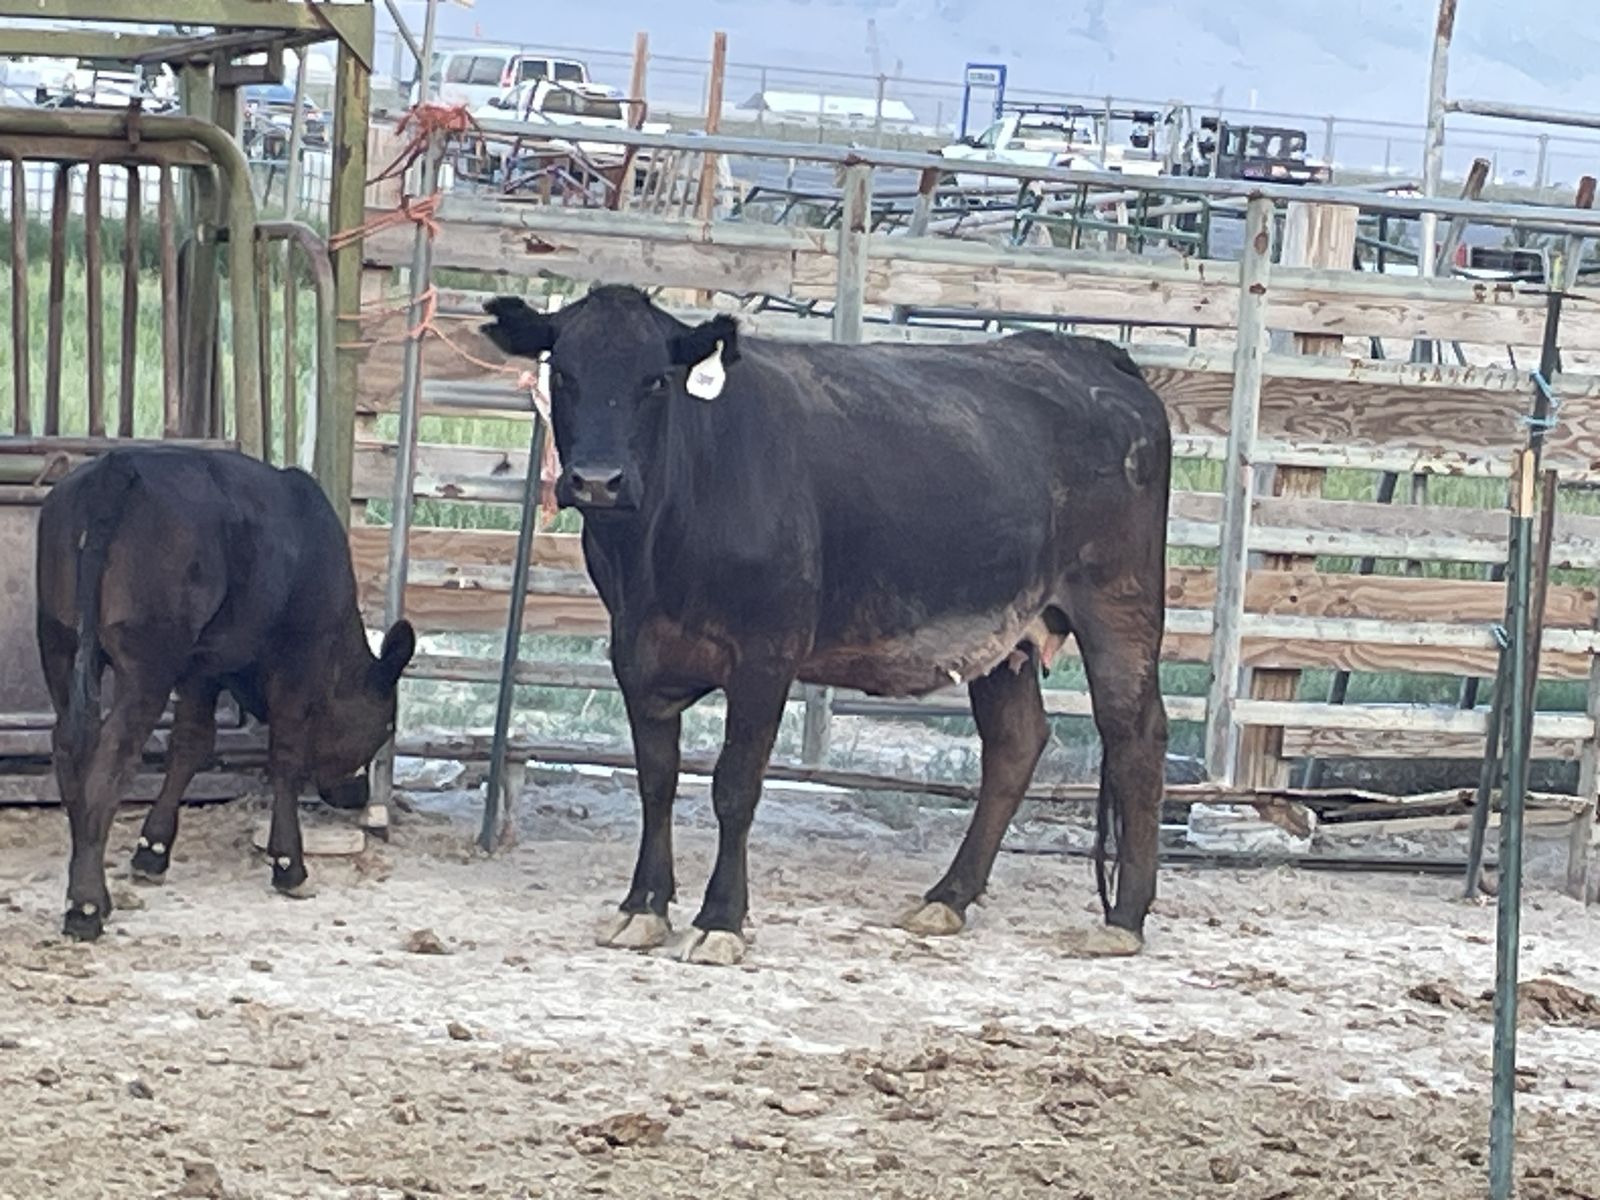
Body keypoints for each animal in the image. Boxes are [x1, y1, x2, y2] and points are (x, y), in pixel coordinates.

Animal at [34, 446, 416, 941]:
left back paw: (90, 888)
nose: (356, 794)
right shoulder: (296, 661)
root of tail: (117, 465)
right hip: (148, 661)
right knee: (111, 759)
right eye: (386, 727)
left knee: (69, 747)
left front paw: (151, 851)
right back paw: (84, 908)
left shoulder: (201, 669)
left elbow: (190, 745)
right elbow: (286, 757)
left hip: (59, 641)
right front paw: (289, 865)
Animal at [481, 285, 1170, 966]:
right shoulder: (635, 652)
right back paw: (948, 897)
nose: (598, 481)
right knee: (1015, 743)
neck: (652, 556)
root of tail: (1089, 354)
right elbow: (656, 781)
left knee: (1135, 735)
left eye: (655, 379)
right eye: (564, 374)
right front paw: (642, 907)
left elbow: (735, 786)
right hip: (1004, 633)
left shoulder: (765, 655)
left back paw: (1124, 919)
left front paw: (720, 920)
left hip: (1120, 604)